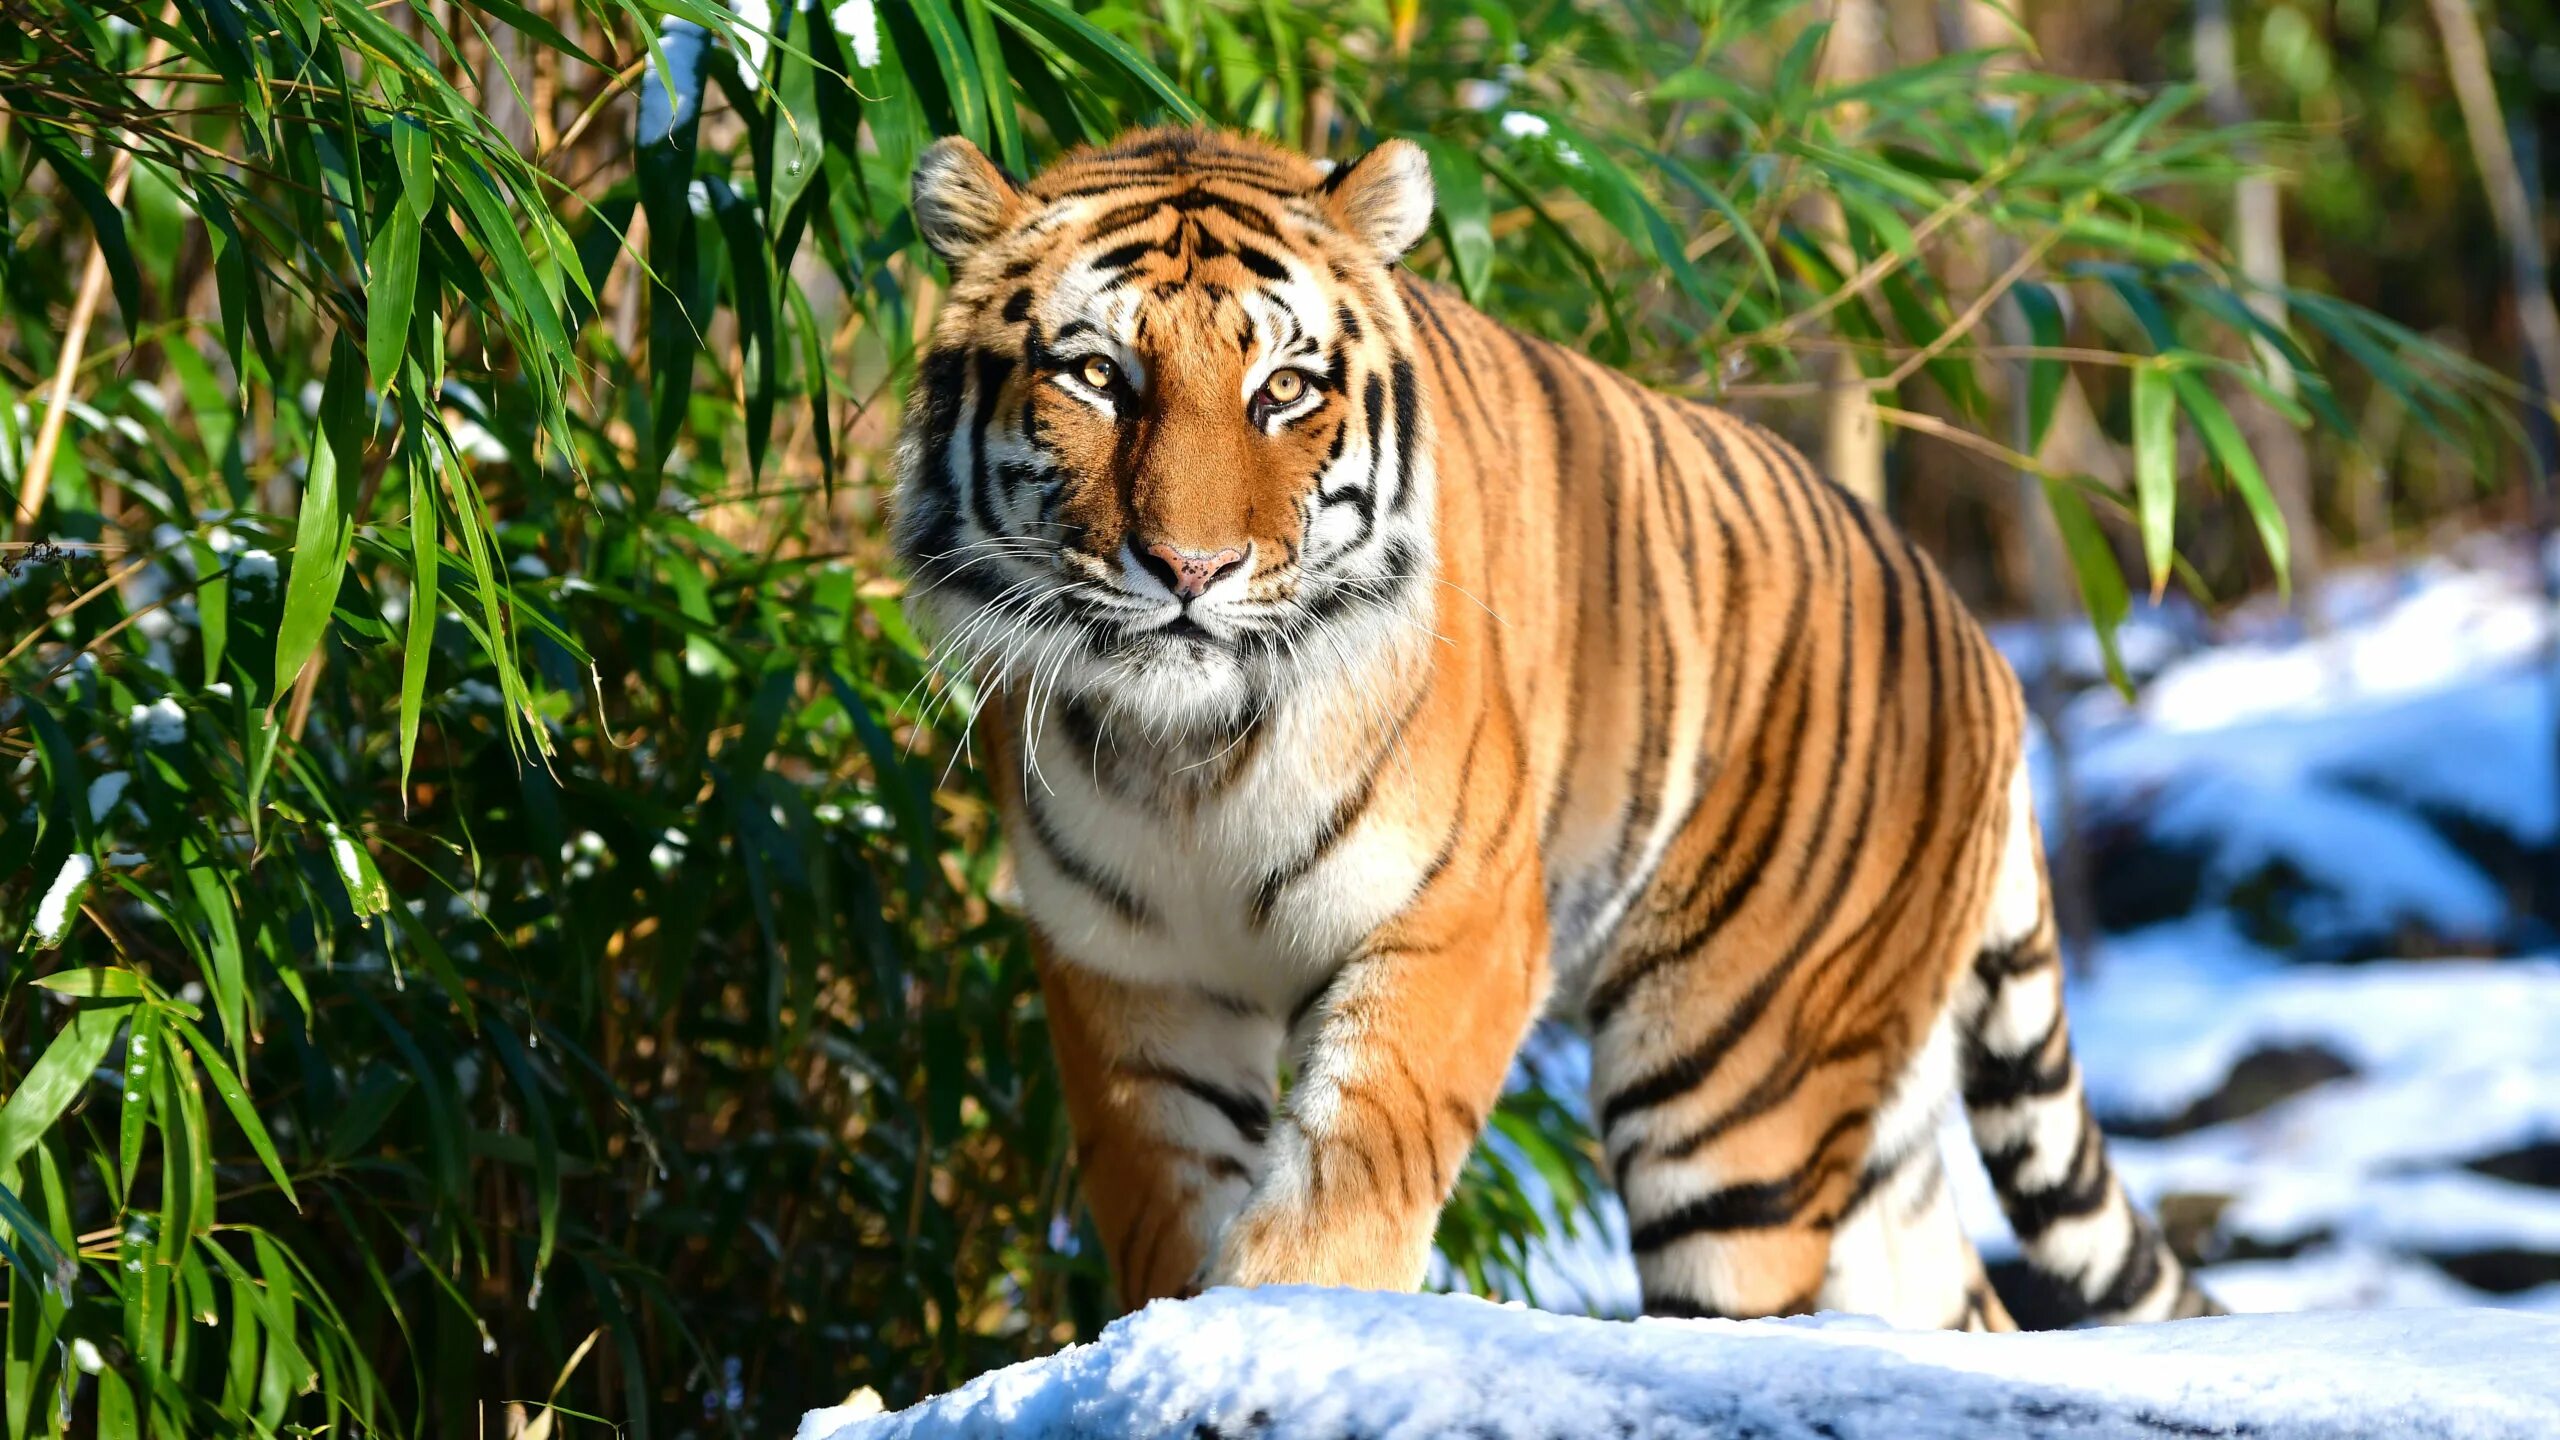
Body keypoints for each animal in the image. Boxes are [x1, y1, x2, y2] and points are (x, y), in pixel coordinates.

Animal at [893, 125, 2218, 1331]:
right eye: (1097, 378)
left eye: (1283, 390)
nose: (1191, 569)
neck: (1186, 755)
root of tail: (1982, 648)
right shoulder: (1128, 977)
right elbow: (1165, 1204)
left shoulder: (1458, 917)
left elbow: (1348, 1179)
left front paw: (1279, 1319)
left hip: (1734, 1089)